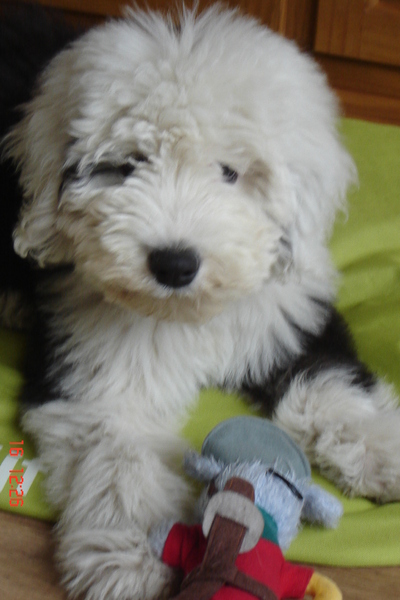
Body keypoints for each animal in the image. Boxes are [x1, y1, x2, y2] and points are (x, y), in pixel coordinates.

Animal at [2, 4, 400, 600]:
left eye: (231, 172)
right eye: (127, 165)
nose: (174, 264)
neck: (189, 314)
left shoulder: (288, 315)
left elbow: (326, 384)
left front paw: (383, 451)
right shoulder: (103, 372)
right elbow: (120, 459)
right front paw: (133, 556)